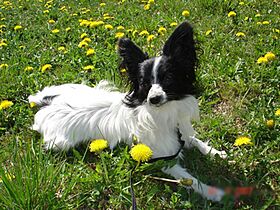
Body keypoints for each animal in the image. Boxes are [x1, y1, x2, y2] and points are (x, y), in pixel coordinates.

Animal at [27, 21, 228, 202]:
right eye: (145, 84)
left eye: (168, 78)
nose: (153, 98)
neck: (165, 112)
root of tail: (47, 104)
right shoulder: (163, 160)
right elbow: (189, 179)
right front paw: (212, 192)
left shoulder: (182, 131)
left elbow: (195, 140)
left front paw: (216, 152)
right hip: (60, 143)